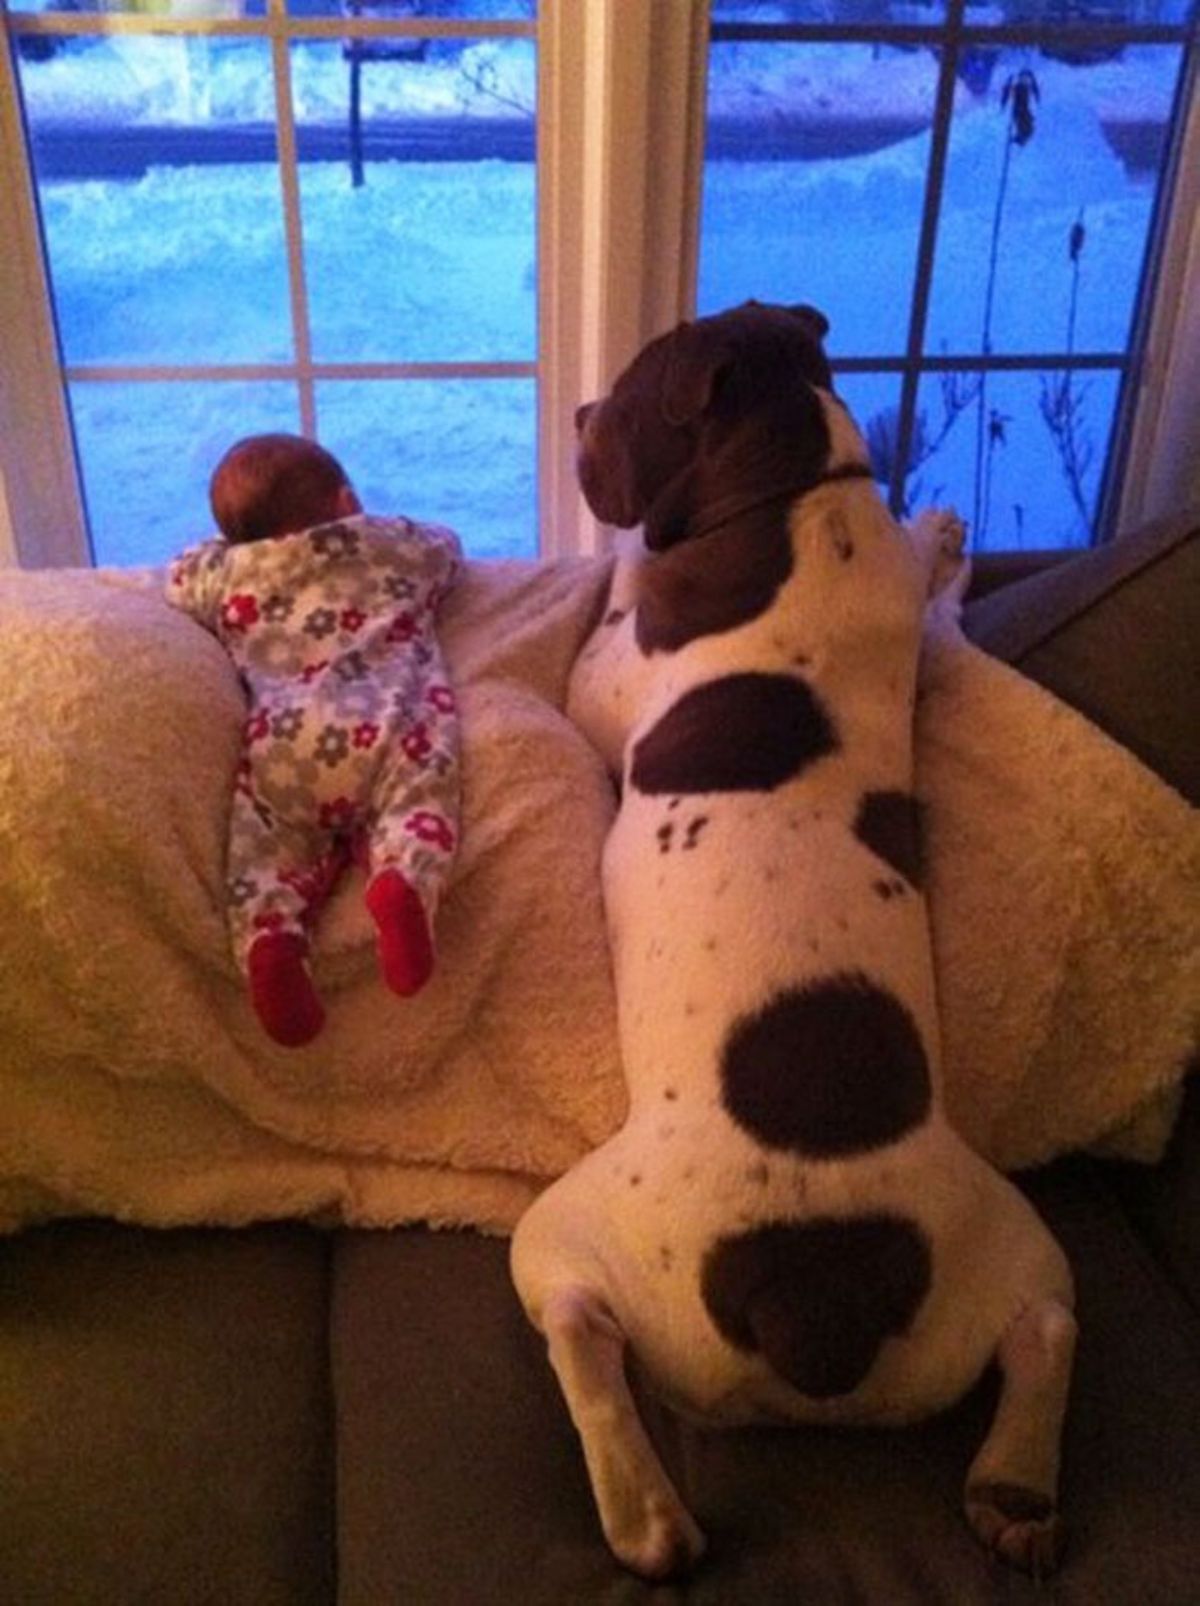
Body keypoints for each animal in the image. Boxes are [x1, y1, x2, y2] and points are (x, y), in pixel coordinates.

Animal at [510, 298, 1073, 1580]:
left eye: (626, 394)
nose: (580, 409)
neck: (795, 487)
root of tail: (818, 1308)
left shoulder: (603, 677)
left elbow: (614, 607)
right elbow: (942, 612)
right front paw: (945, 539)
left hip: (572, 1230)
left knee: (580, 1337)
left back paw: (647, 1514)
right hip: (1004, 1245)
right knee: (1048, 1330)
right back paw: (1014, 1489)